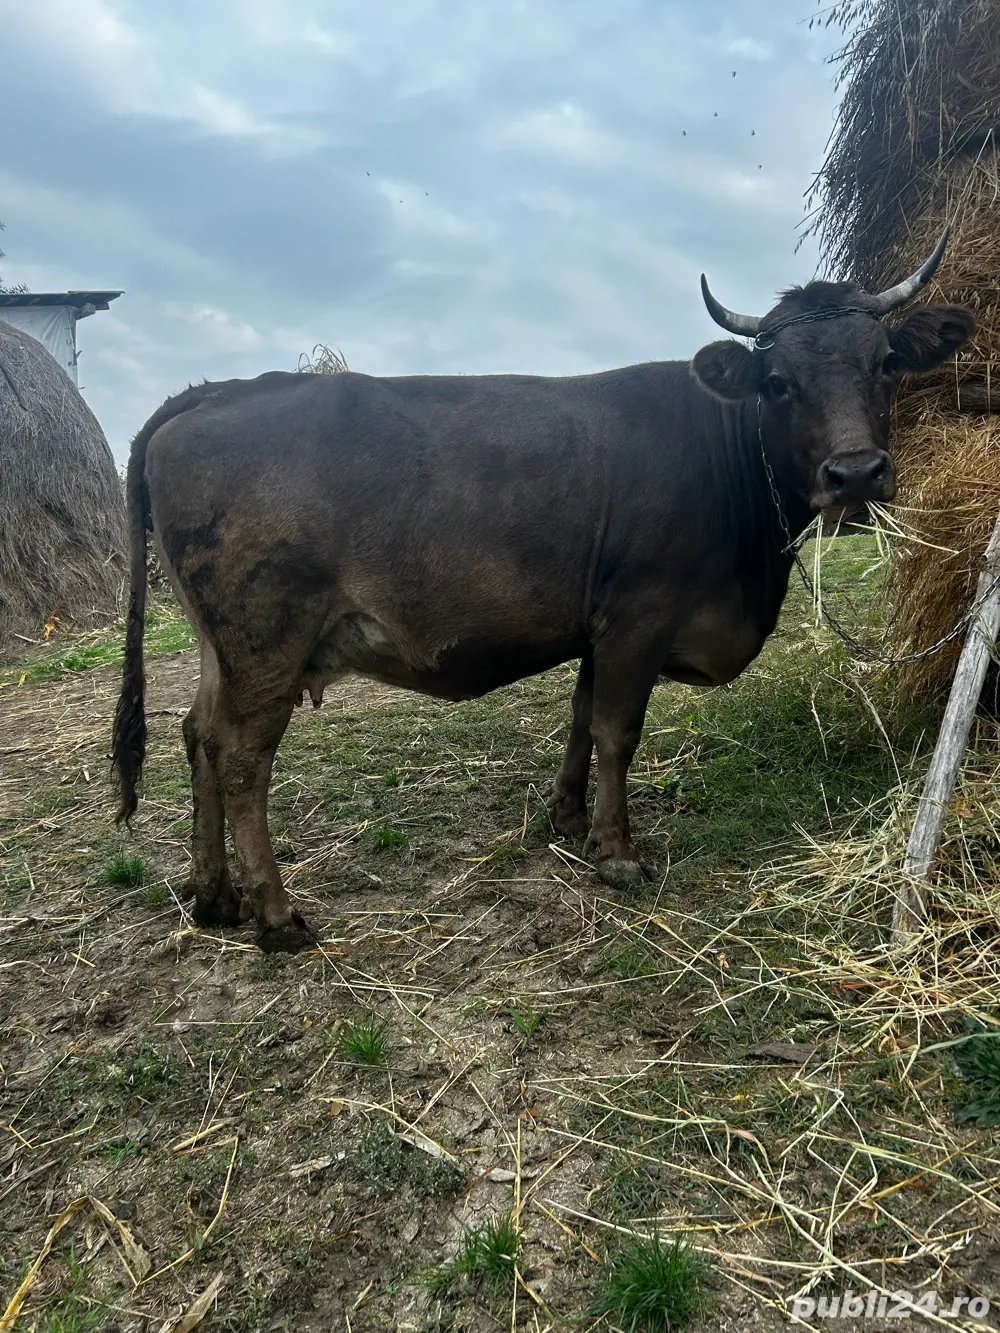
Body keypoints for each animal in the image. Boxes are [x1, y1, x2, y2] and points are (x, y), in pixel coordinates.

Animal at [111, 231, 974, 953]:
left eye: (885, 364)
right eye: (777, 381)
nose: (855, 474)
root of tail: (214, 391)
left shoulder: (599, 622)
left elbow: (582, 718)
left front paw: (565, 817)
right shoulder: (641, 613)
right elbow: (618, 730)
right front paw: (617, 852)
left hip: (222, 646)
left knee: (196, 733)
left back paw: (213, 897)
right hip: (267, 640)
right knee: (239, 758)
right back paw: (277, 915)